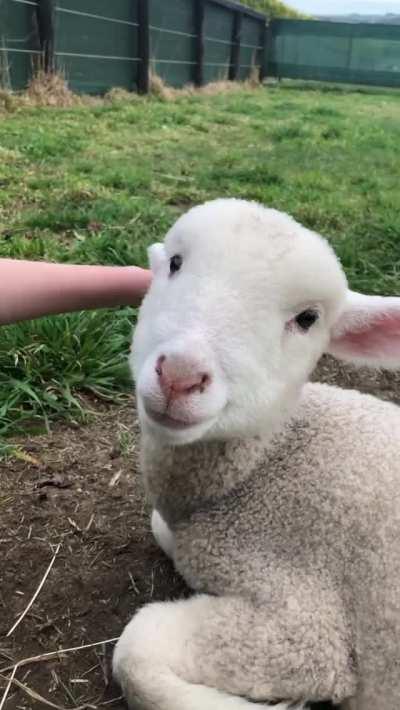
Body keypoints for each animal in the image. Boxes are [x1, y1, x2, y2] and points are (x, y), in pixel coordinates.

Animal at [113, 198, 400, 710]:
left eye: (307, 319)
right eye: (175, 263)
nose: (181, 376)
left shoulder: (307, 627)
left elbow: (136, 650)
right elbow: (161, 528)